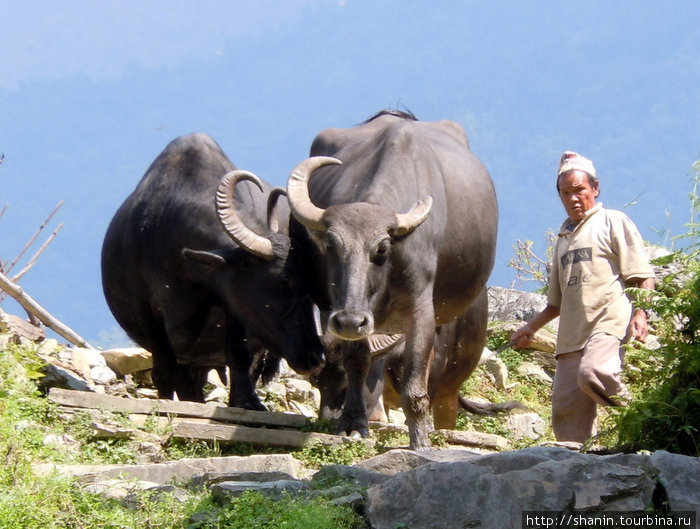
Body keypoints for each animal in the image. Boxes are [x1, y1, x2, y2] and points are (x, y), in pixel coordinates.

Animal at [101, 133, 326, 408]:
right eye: (283, 280)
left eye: (311, 285)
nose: (315, 358)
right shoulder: (146, 311)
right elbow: (163, 370)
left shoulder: (231, 304)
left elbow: (238, 355)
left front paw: (248, 403)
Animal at [284, 109, 498, 448]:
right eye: (330, 244)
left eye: (382, 247)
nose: (349, 320)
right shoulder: (347, 315)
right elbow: (357, 362)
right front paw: (352, 423)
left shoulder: (421, 309)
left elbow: (416, 382)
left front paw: (420, 440)